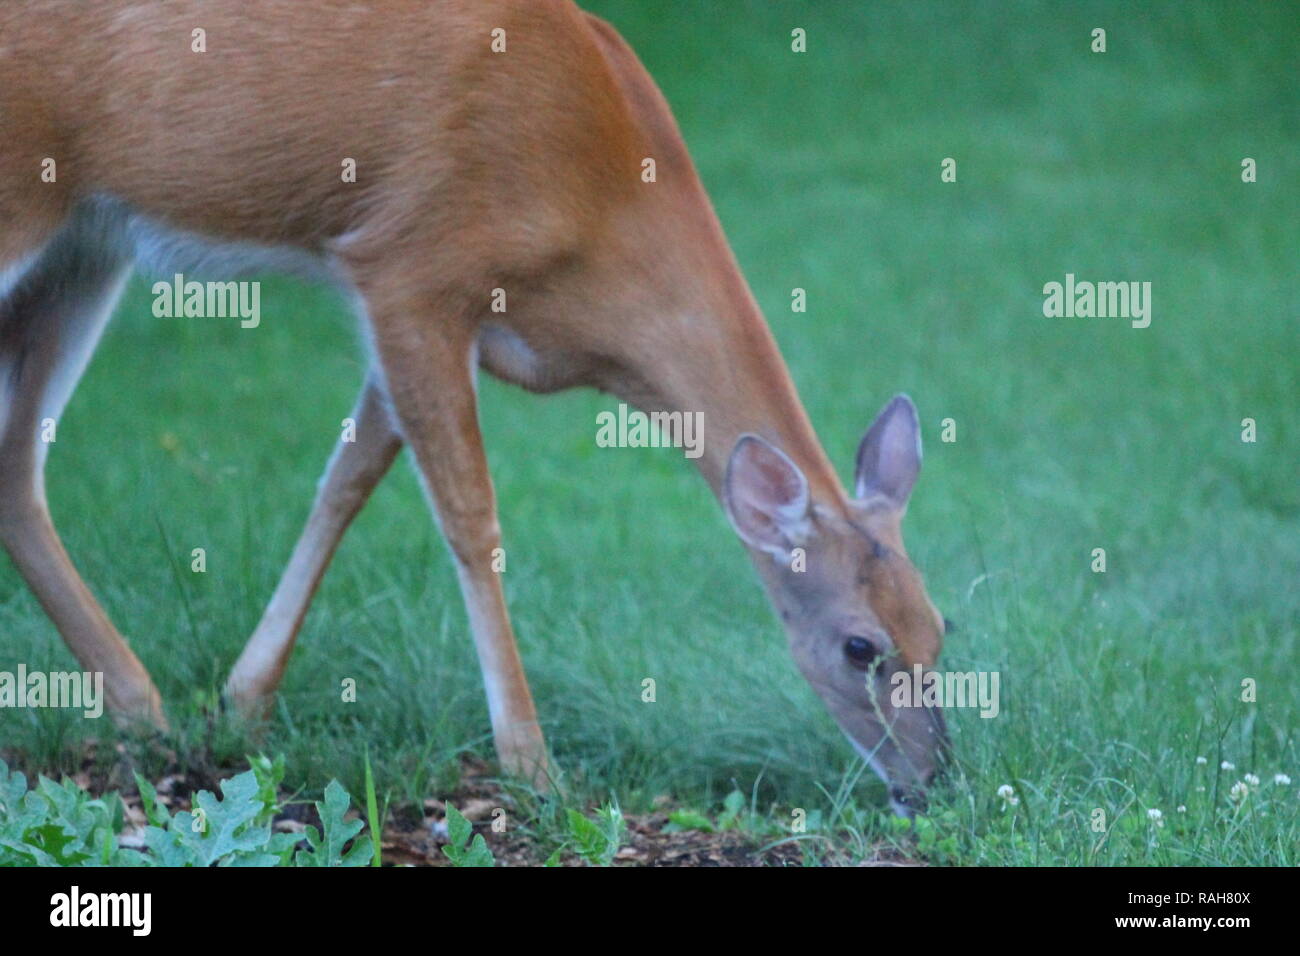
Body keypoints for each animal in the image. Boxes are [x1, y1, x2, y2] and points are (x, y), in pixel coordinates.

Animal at [0, 0, 947, 814]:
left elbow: (346, 481)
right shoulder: (411, 264)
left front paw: (242, 703)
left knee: (18, 465)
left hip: (88, 242)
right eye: (861, 646)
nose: (935, 780)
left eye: (941, 626)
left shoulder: (422, 317)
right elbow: (468, 517)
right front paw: (533, 766)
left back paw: (143, 710)